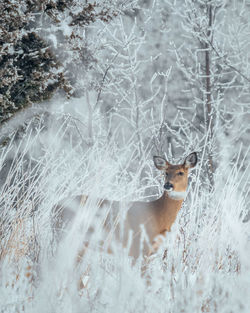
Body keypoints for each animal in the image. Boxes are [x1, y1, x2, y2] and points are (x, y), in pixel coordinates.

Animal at [54, 151, 197, 260]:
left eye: (181, 172)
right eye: (165, 172)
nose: (168, 185)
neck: (158, 215)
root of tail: (54, 207)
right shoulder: (138, 248)